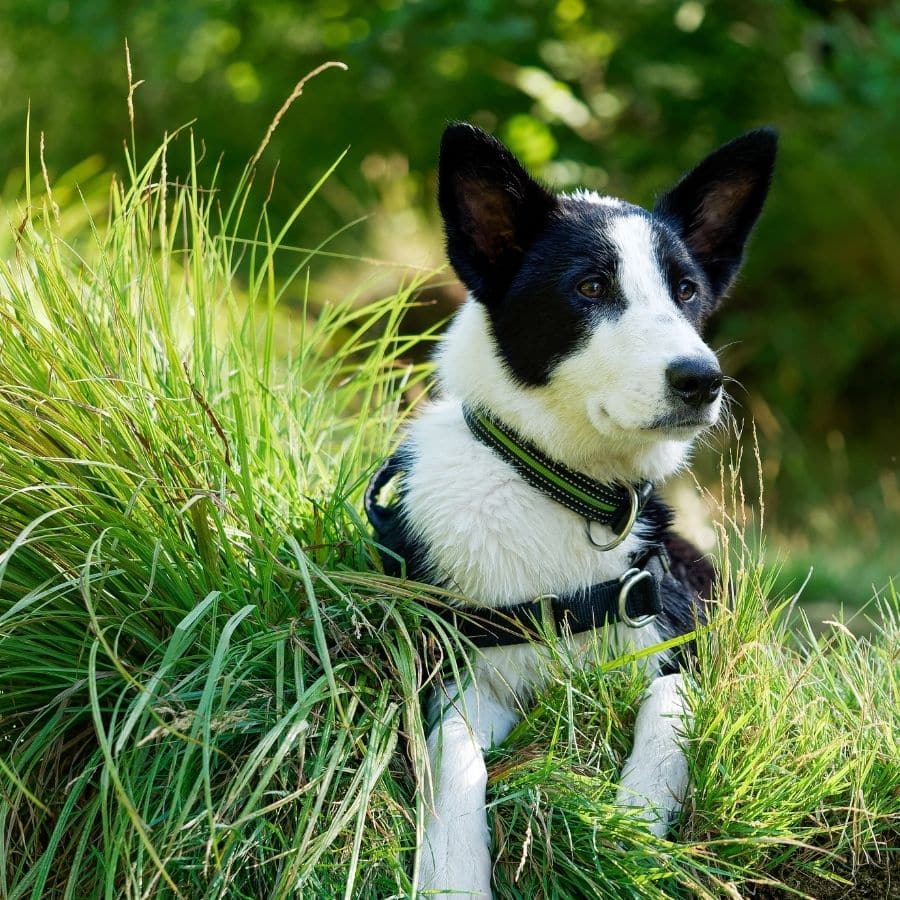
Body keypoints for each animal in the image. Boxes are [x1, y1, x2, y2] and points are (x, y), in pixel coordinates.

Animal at [370, 123, 776, 896]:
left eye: (686, 291)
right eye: (590, 287)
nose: (702, 379)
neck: (566, 490)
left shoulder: (677, 642)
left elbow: (665, 714)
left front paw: (633, 825)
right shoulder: (459, 676)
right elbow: (454, 758)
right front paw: (452, 872)